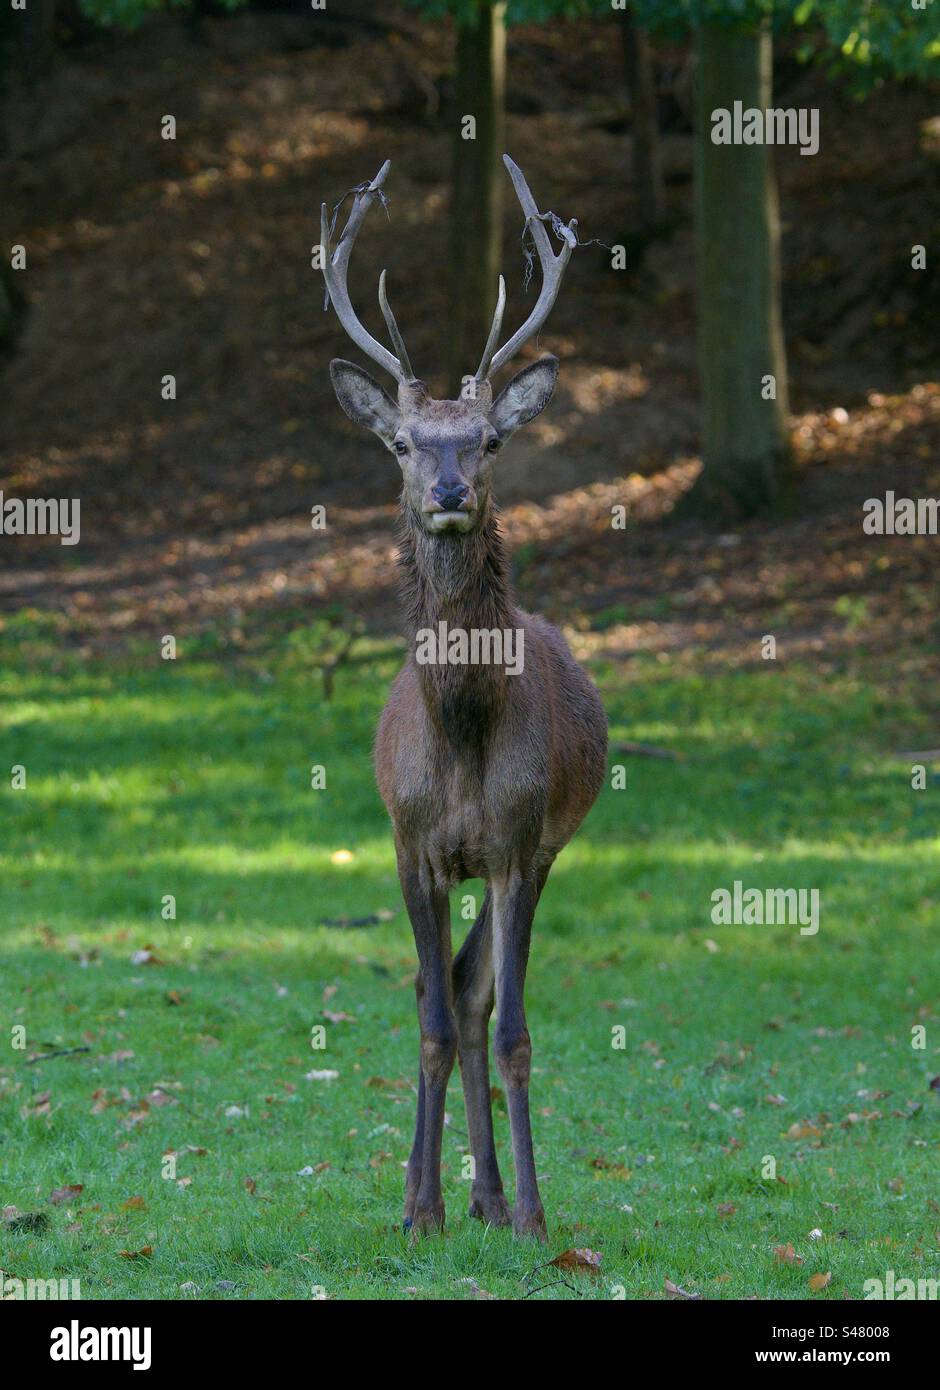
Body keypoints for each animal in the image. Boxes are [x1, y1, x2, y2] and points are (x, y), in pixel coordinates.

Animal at [321, 155, 607, 1240]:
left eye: (486, 439)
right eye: (404, 442)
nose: (447, 492)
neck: (464, 741)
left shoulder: (522, 844)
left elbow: (511, 1025)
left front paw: (530, 1212)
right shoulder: (411, 843)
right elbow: (434, 1018)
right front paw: (419, 1209)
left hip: (538, 849)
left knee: (480, 993)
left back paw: (490, 1193)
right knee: (442, 990)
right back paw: (445, 1190)